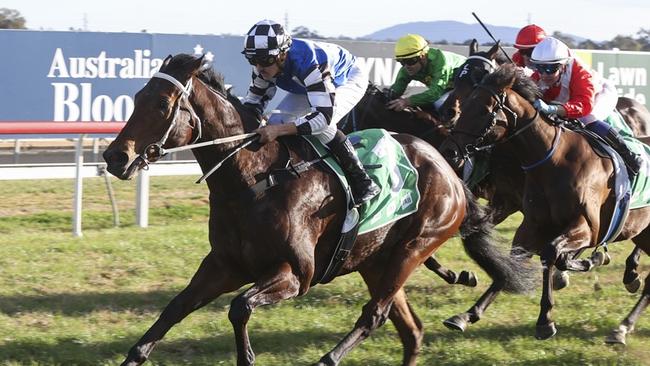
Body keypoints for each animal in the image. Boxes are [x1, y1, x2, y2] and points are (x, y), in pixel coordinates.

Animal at [105, 54, 532, 366]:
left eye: (163, 104)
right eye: (138, 97)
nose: (115, 157)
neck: (254, 181)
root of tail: (448, 169)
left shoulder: (296, 275)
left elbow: (240, 307)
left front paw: (248, 356)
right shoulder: (224, 265)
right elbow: (176, 307)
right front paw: (134, 355)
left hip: (415, 246)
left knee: (375, 314)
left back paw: (328, 358)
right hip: (375, 261)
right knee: (410, 330)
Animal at [438, 63, 648, 344]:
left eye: (483, 110)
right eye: (466, 103)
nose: (449, 151)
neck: (554, 160)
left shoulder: (588, 227)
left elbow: (550, 253)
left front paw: (545, 319)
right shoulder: (530, 223)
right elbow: (513, 263)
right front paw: (467, 314)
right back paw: (622, 318)